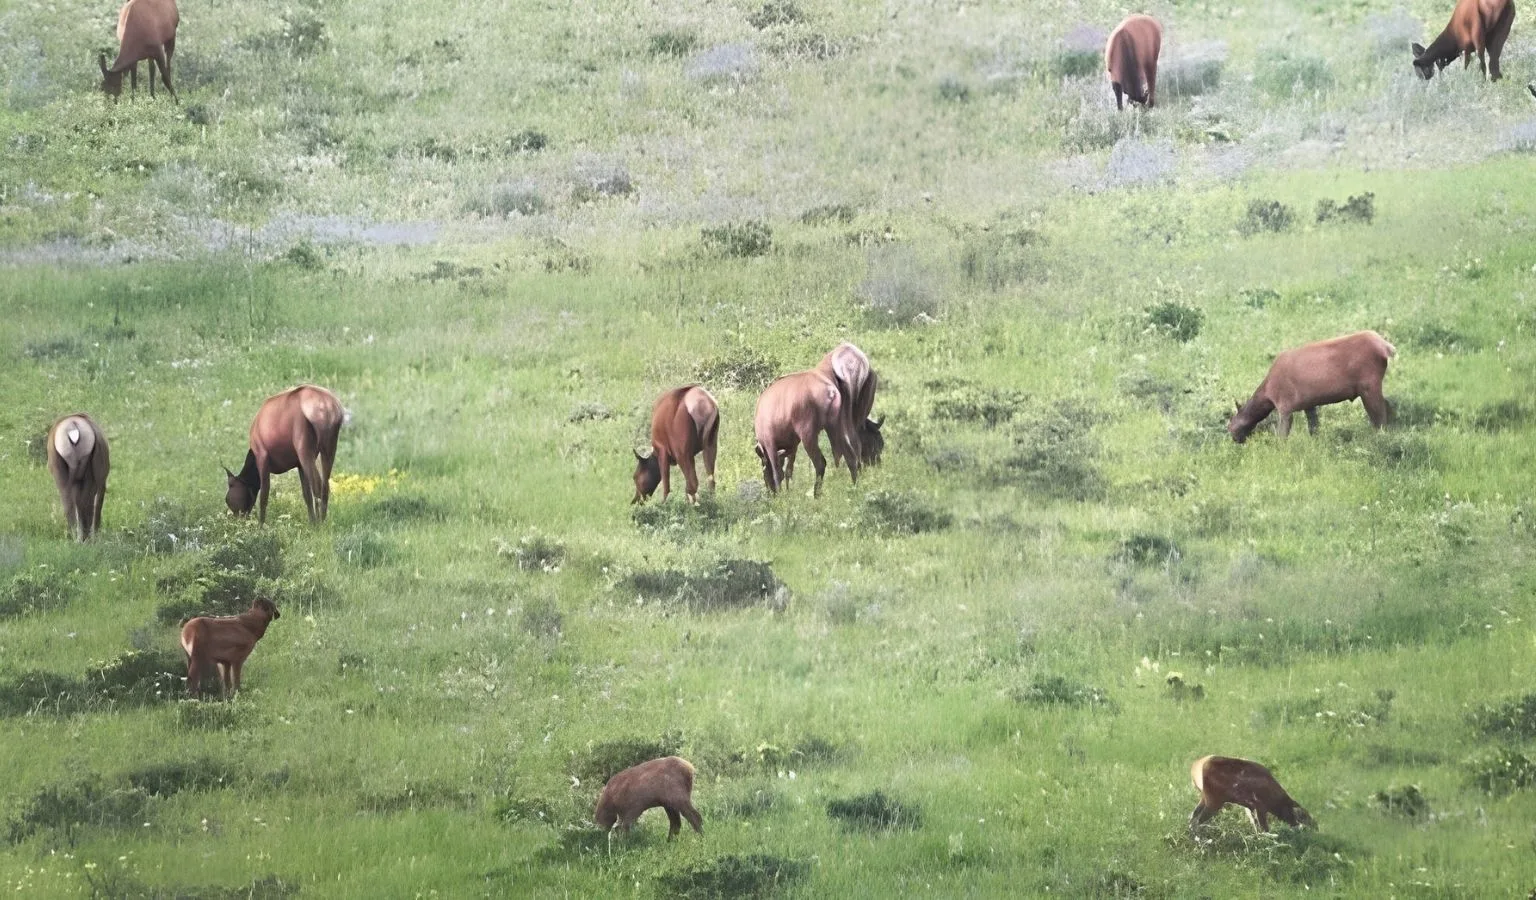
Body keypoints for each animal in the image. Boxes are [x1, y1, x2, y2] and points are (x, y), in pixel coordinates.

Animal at [225, 385, 345, 524]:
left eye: (227, 499)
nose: (237, 520)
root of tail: (328, 408)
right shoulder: (298, 464)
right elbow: (306, 495)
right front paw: (311, 522)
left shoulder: (262, 456)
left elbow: (264, 496)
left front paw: (260, 525)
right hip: (330, 444)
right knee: (325, 486)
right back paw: (321, 522)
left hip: (303, 444)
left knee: (317, 485)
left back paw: (320, 524)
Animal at [1228, 331, 1395, 443]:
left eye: (1230, 426)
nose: (1235, 440)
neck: (1267, 394)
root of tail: (1388, 348)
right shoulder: (1309, 404)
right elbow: (1313, 428)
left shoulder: (1285, 406)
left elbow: (1282, 435)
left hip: (1369, 386)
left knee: (1380, 415)